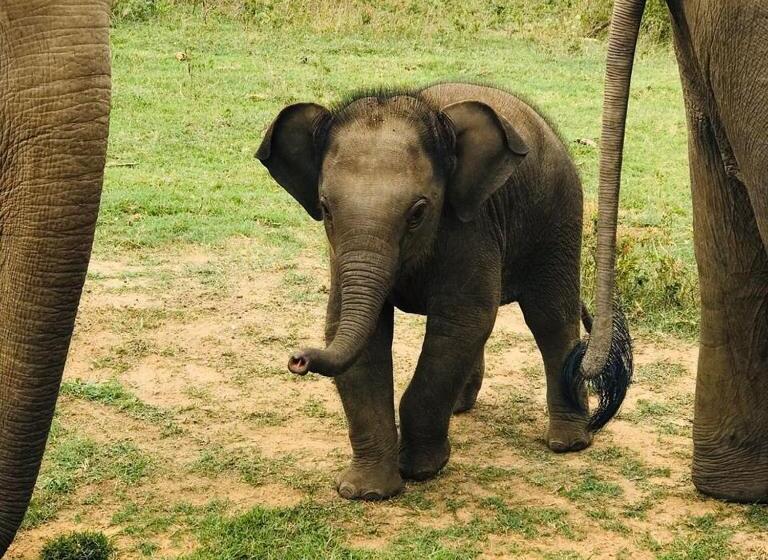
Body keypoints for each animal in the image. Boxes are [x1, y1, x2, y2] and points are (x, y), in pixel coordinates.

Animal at [257, 82, 632, 499]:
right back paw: (460, 409)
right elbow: (354, 332)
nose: (297, 359)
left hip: (558, 215)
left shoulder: (469, 226)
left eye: (418, 213)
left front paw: (421, 469)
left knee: (549, 317)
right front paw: (366, 492)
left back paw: (568, 442)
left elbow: (461, 322)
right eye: (325, 209)